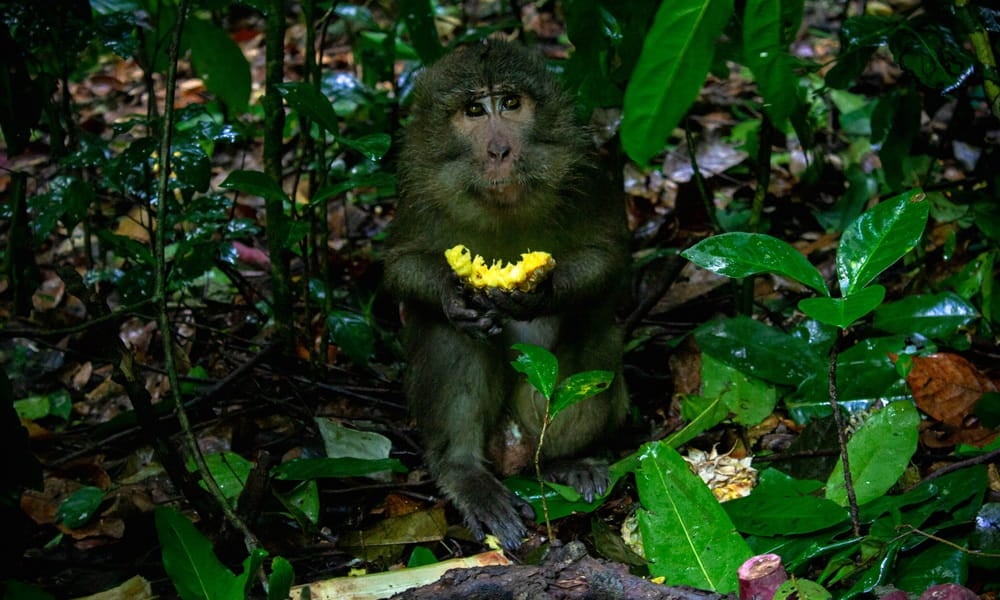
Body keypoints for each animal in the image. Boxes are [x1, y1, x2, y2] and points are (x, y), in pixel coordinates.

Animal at [383, 39, 630, 550]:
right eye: (475, 110)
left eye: (511, 103)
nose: (500, 149)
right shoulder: (416, 182)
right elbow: (399, 265)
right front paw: (454, 295)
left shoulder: (585, 168)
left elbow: (608, 256)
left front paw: (540, 292)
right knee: (450, 334)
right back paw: (464, 472)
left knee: (594, 331)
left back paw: (565, 461)